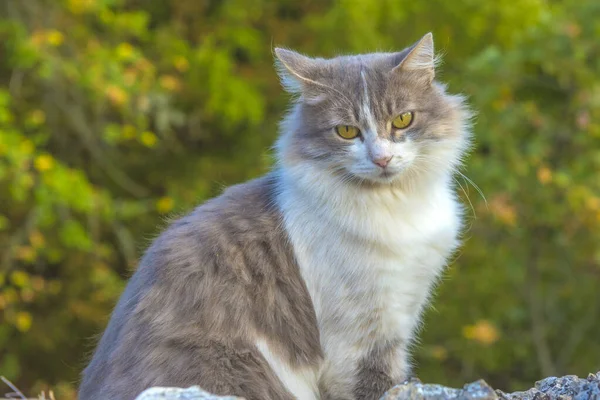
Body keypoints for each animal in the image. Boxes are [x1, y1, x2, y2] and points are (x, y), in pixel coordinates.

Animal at [79, 33, 472, 400]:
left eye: (403, 119)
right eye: (346, 131)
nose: (382, 158)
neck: (395, 208)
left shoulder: (402, 309)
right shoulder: (359, 340)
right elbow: (378, 384)